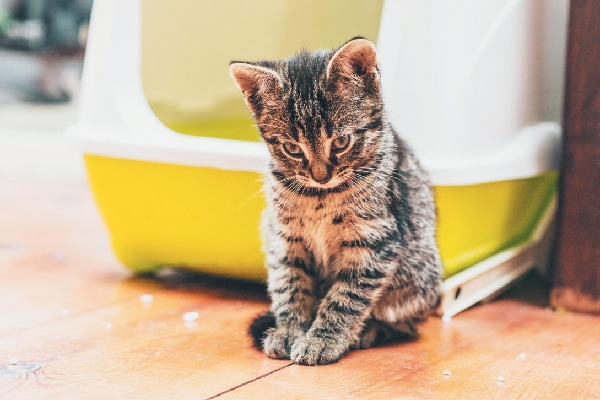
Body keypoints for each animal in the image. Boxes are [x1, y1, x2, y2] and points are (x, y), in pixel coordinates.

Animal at [229, 37, 440, 366]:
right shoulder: (285, 238)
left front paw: (323, 340)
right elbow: (290, 285)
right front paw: (288, 331)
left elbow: (346, 297)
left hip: (420, 276)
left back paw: (370, 331)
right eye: (292, 148)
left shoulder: (374, 240)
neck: (319, 197)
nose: (321, 175)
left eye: (341, 142)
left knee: (406, 323)